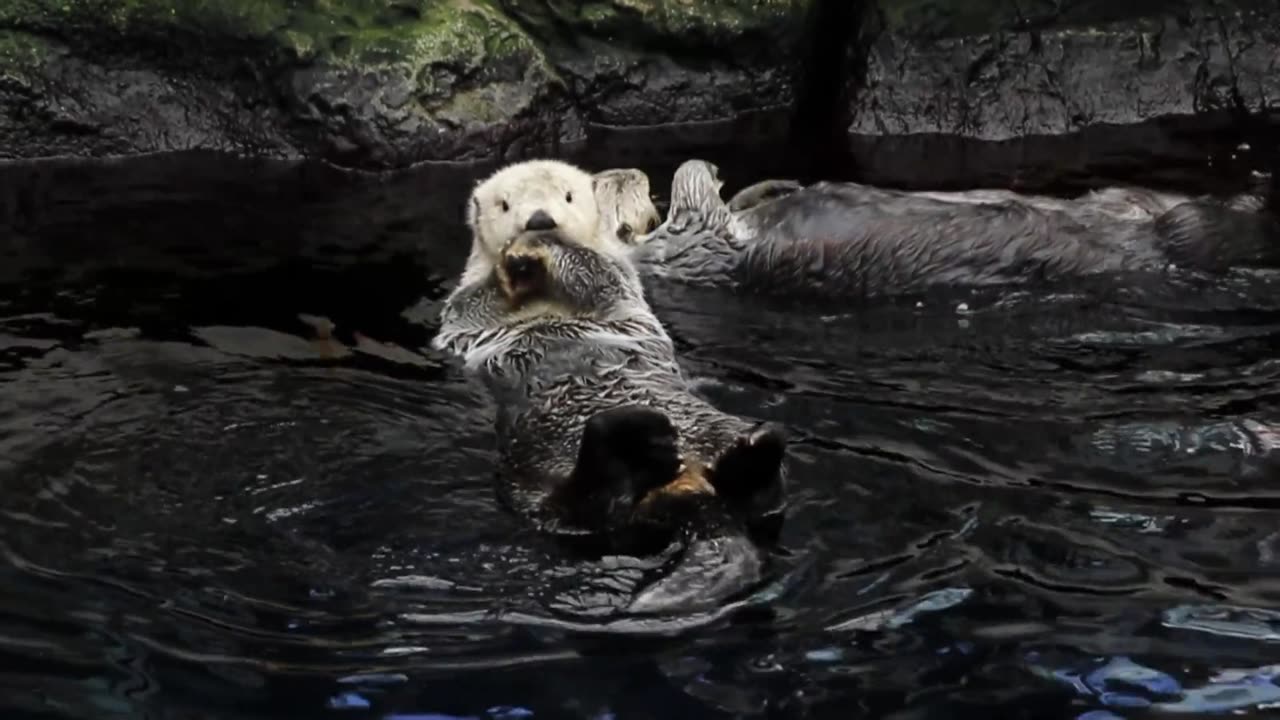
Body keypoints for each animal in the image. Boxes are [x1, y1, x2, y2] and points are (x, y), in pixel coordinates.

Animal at [435, 158, 783, 609]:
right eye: (505, 204)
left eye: (567, 196)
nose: (539, 220)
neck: (543, 292)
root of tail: (688, 490)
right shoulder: (461, 312)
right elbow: (475, 304)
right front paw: (513, 263)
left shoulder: (618, 277)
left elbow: (596, 273)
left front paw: (539, 247)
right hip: (528, 475)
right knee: (581, 511)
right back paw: (639, 438)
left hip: (712, 428)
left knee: (766, 498)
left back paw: (747, 450)